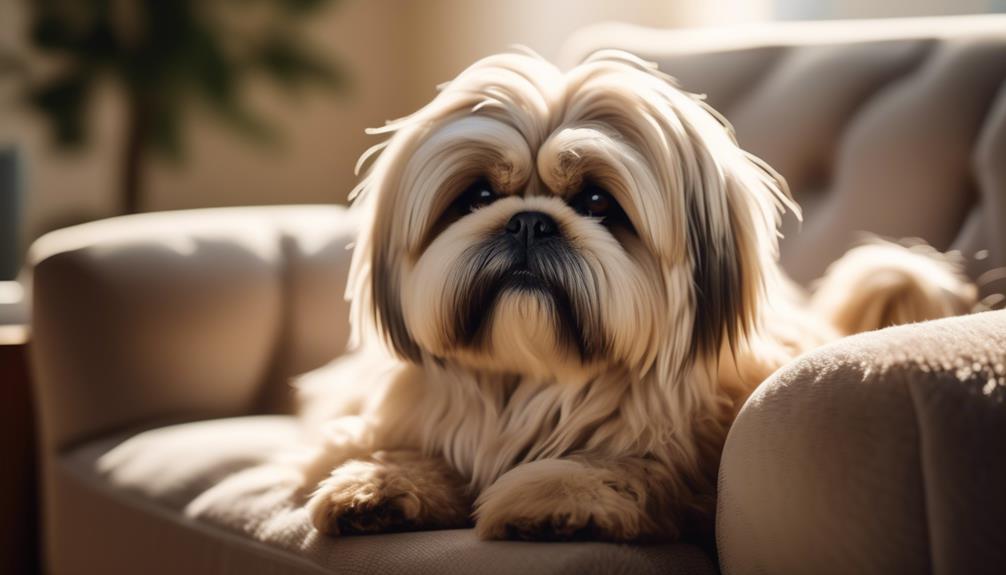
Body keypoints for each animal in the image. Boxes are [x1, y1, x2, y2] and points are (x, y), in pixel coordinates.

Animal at [295, 50, 973, 542]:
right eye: (480, 196)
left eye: (597, 201)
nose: (529, 222)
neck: (539, 378)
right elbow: (397, 446)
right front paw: (378, 485)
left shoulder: (685, 471)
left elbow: (623, 465)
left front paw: (556, 497)